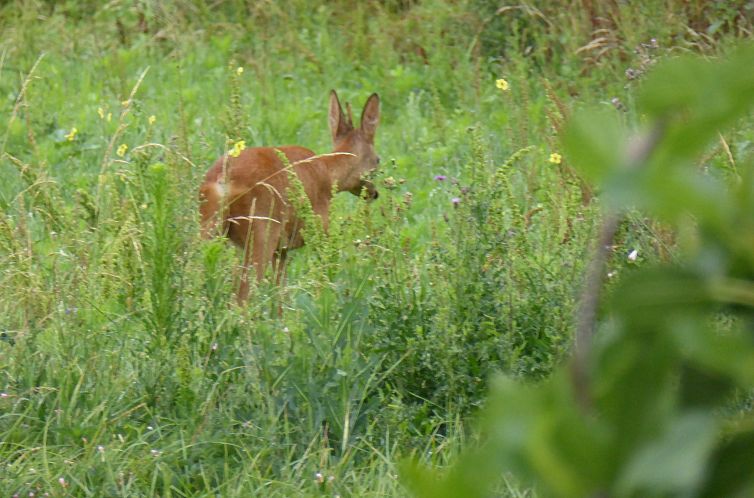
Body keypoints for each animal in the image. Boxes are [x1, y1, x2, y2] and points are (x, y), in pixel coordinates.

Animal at [198, 88, 378, 300]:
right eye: (378, 160)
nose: (374, 193)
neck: (329, 171)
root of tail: (222, 179)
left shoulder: (281, 249)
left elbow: (279, 295)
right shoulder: (320, 232)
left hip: (208, 225)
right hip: (260, 233)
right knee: (242, 296)